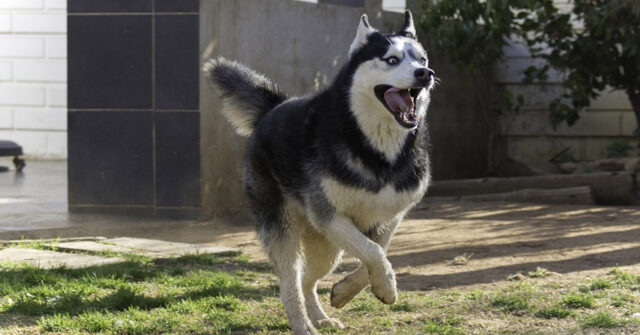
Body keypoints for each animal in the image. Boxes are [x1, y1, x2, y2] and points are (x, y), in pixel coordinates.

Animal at [205, 11, 436, 335]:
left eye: (422, 59)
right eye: (391, 60)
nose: (425, 73)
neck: (375, 148)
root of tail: (273, 107)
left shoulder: (389, 217)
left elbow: (378, 250)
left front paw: (351, 291)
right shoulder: (328, 215)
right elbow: (374, 252)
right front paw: (388, 287)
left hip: (326, 247)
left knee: (306, 280)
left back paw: (320, 317)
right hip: (284, 230)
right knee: (289, 284)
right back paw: (303, 324)